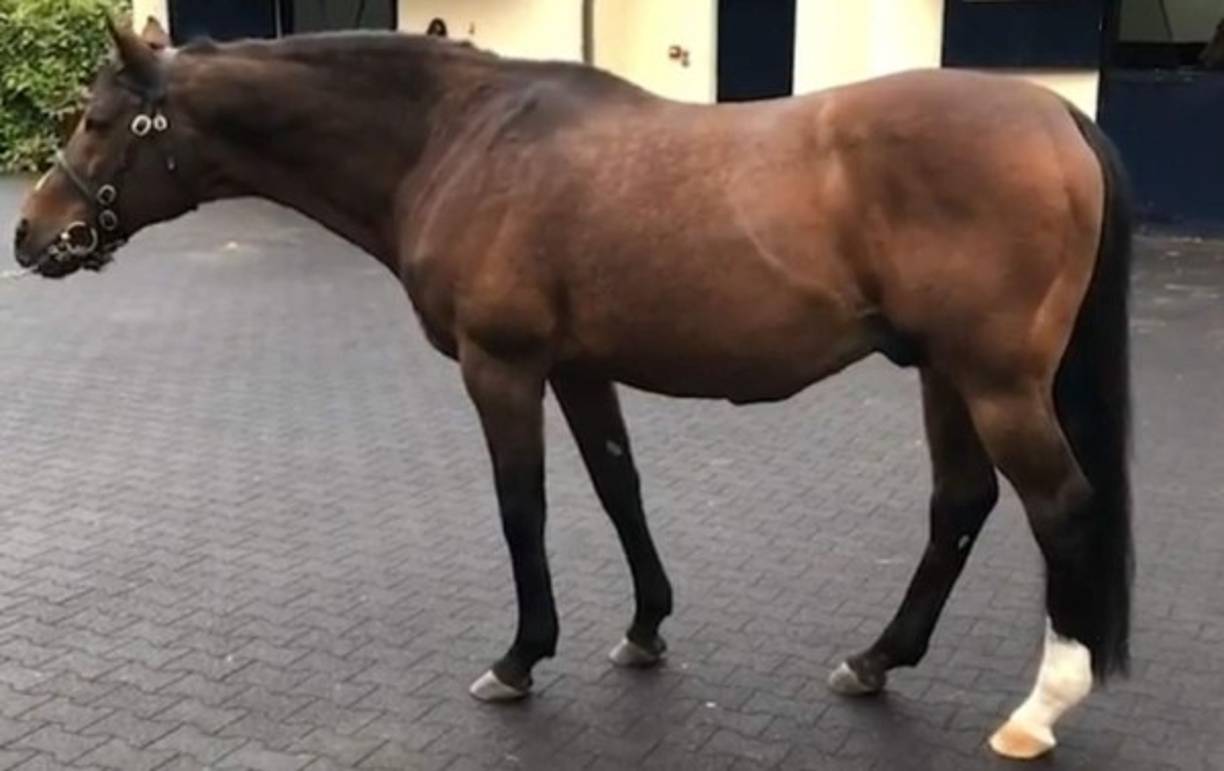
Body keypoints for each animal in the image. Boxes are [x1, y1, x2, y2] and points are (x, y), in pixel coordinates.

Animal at [12, 17, 1134, 760]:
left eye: (104, 120)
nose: (31, 234)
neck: (455, 139)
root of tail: (1055, 115)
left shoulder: (502, 366)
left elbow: (525, 507)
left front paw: (520, 658)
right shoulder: (582, 368)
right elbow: (616, 488)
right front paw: (644, 629)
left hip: (995, 381)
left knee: (1060, 504)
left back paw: (1040, 707)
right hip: (944, 374)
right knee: (962, 504)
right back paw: (877, 659)